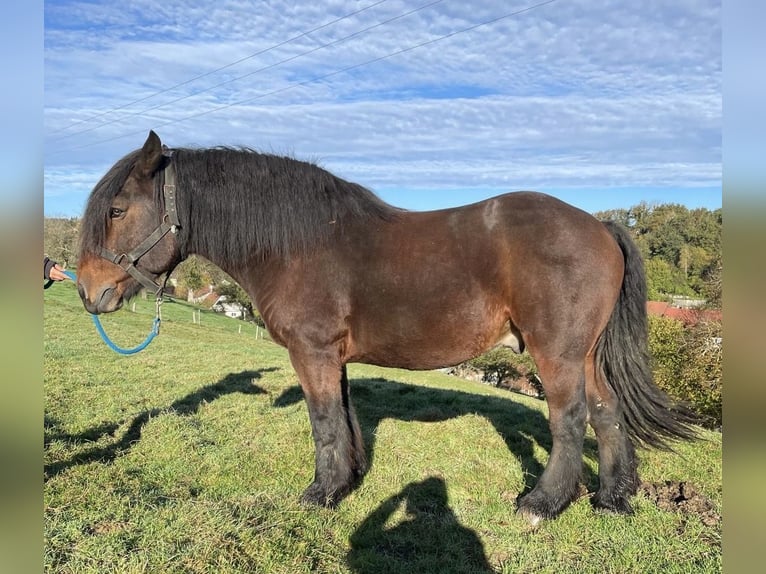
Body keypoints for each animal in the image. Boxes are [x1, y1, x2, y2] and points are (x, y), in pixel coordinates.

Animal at [75, 130, 700, 528]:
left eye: (117, 209)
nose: (87, 291)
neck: (296, 243)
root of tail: (598, 225)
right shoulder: (335, 356)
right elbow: (345, 417)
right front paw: (347, 481)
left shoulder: (313, 352)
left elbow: (324, 421)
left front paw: (320, 494)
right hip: (585, 353)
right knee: (607, 413)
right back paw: (612, 499)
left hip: (557, 353)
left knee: (570, 421)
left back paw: (542, 504)